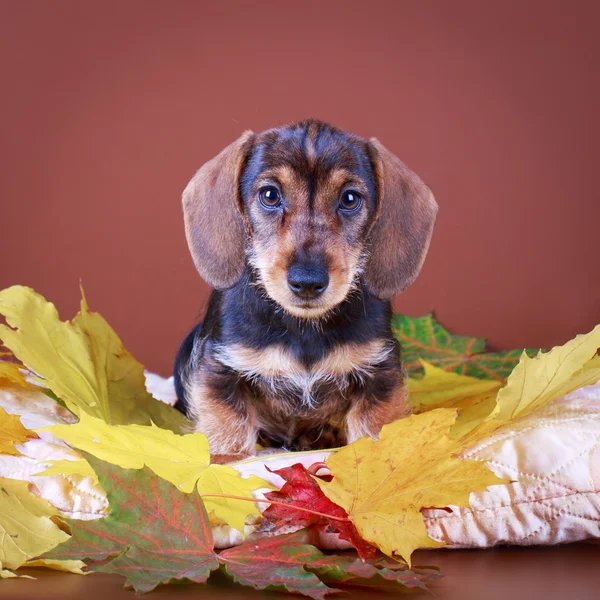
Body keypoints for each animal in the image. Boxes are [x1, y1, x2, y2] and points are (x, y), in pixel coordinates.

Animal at [173, 118, 436, 464]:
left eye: (349, 199)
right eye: (270, 195)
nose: (307, 281)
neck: (303, 328)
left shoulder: (380, 373)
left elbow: (373, 428)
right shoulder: (220, 371)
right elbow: (228, 431)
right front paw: (223, 461)